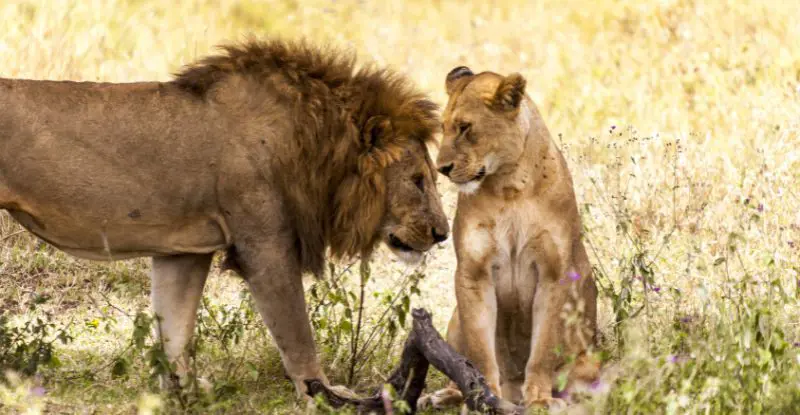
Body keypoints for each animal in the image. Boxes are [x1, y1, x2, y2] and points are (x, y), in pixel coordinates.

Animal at [0, 39, 450, 400]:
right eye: (417, 180)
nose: (442, 233)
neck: (316, 147)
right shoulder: (264, 245)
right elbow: (296, 331)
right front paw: (321, 393)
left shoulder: (182, 250)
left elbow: (174, 328)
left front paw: (181, 393)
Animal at [424, 67, 600, 410]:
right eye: (443, 127)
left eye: (465, 128)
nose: (442, 169)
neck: (509, 186)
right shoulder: (473, 272)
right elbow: (479, 351)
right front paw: (482, 398)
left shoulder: (554, 272)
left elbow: (543, 348)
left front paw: (541, 400)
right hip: (454, 318)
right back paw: (440, 396)